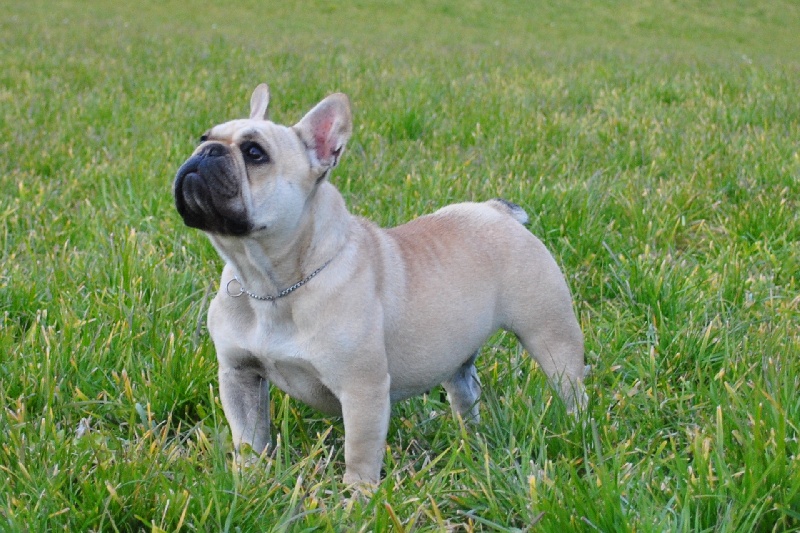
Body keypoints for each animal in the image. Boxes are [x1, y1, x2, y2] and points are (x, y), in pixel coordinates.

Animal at [173, 82, 588, 482]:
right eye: (202, 136)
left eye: (255, 153)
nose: (206, 152)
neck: (269, 282)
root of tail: (496, 211)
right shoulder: (239, 375)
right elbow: (249, 438)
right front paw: (248, 480)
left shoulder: (362, 390)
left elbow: (359, 452)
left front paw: (358, 497)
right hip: (457, 353)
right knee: (466, 390)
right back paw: (470, 439)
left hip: (550, 335)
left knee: (571, 387)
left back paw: (576, 430)